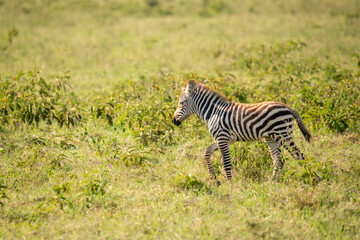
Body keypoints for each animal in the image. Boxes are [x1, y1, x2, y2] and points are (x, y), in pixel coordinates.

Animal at [170, 80, 310, 182]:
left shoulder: (222, 138)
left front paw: (230, 184)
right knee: (278, 160)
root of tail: (287, 107)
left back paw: (308, 176)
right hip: (271, 137)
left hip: (283, 134)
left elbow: (226, 163)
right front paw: (215, 180)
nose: (173, 121)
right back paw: (272, 181)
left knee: (299, 155)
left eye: (181, 103)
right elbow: (207, 152)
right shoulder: (224, 139)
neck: (213, 113)